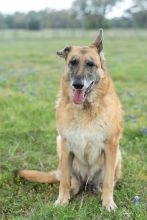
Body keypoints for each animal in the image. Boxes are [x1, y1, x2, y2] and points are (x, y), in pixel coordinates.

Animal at [16, 29, 123, 211]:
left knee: (105, 181)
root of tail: (87, 181)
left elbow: (109, 181)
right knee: (71, 181)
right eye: (73, 62)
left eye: (90, 64)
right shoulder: (66, 144)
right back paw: (73, 191)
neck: (85, 109)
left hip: (117, 156)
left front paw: (108, 202)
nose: (77, 85)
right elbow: (64, 181)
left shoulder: (110, 145)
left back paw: (99, 189)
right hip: (60, 147)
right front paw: (62, 200)